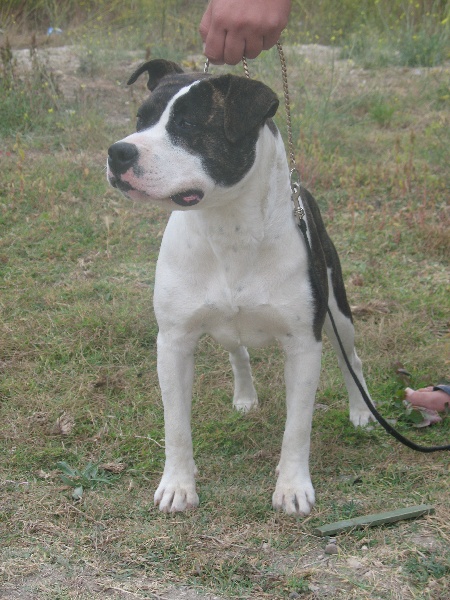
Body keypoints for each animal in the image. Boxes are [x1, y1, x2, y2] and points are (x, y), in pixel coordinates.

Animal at [106, 57, 372, 516]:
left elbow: (297, 428)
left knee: (350, 359)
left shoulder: (304, 345)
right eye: (140, 120)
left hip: (338, 312)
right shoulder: (173, 342)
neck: (228, 226)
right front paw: (178, 485)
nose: (118, 151)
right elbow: (176, 425)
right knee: (238, 351)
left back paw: (360, 411)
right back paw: (245, 397)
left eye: (189, 125)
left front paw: (292, 487)